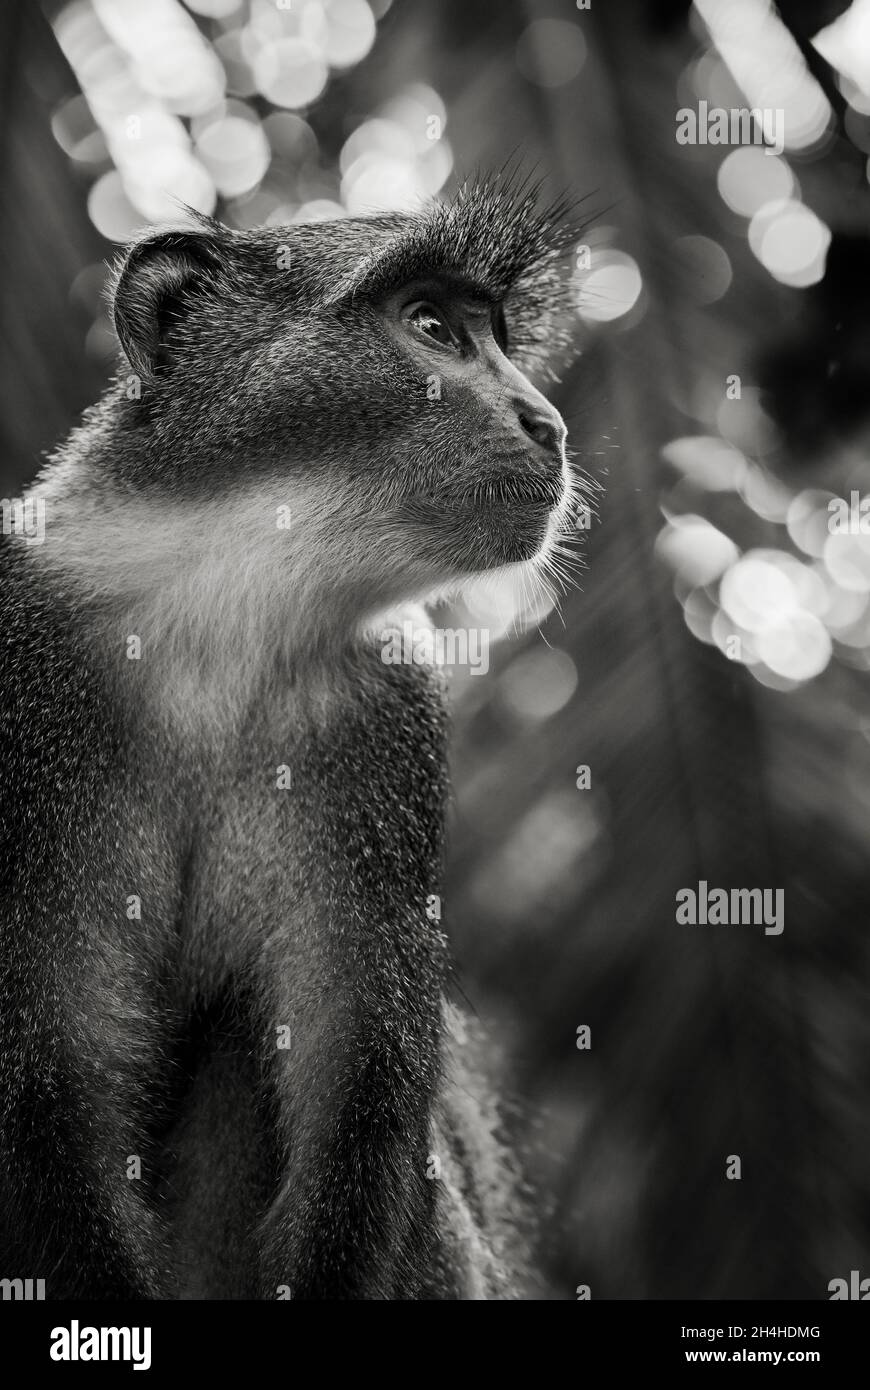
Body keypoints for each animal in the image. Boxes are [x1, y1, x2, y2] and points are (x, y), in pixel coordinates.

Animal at [1, 179, 583, 1295]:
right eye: (433, 329)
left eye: (495, 334)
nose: (548, 423)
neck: (227, 610)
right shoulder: (27, 657)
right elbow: (50, 1071)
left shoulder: (385, 726)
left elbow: (355, 1091)